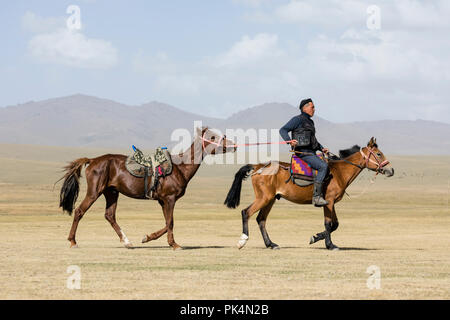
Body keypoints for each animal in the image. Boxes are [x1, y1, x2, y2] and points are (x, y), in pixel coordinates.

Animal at [59, 127, 236, 250]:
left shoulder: (162, 201)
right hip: (94, 192)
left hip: (111, 193)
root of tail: (93, 160)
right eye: (212, 137)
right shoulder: (169, 199)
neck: (180, 168)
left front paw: (148, 238)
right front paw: (173, 244)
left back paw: (127, 242)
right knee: (79, 211)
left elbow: (168, 222)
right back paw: (73, 241)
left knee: (109, 215)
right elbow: (170, 222)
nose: (233, 145)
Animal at [225, 137, 394, 250]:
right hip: (264, 198)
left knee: (261, 219)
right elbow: (328, 224)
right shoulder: (328, 201)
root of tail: (258, 166)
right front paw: (329, 245)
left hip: (270, 199)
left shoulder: (331, 203)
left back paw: (271, 244)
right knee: (246, 212)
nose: (391, 170)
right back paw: (243, 240)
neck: (339, 172)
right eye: (379, 154)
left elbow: (335, 224)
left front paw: (315, 237)